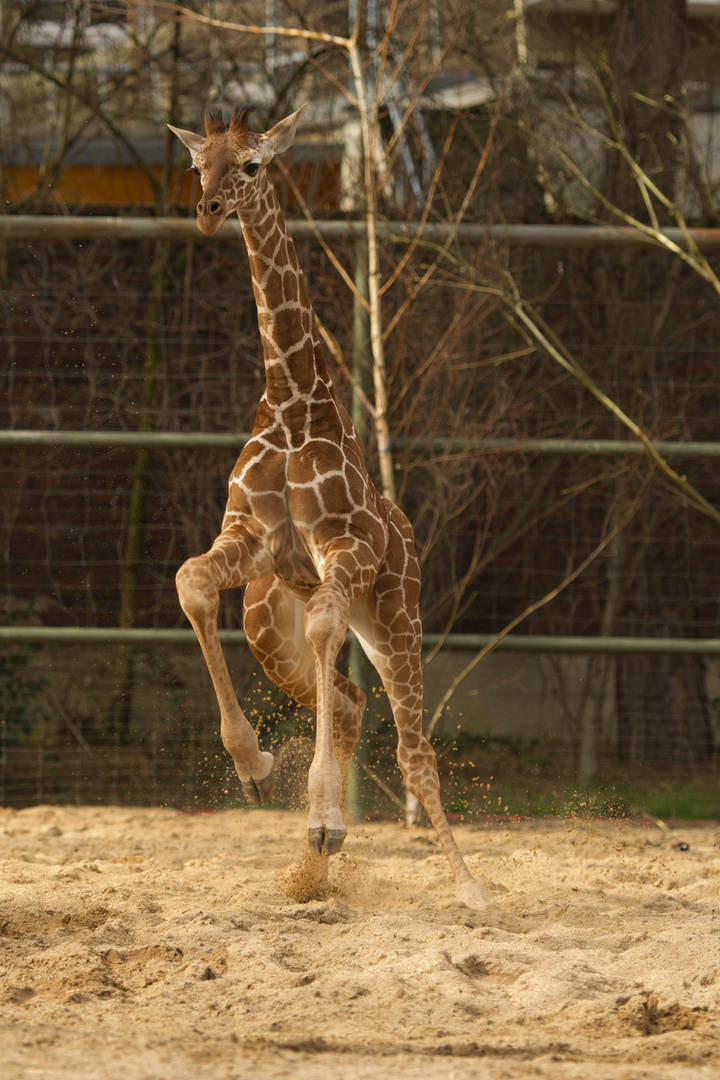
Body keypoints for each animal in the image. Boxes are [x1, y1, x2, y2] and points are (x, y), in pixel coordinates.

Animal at [169, 103, 490, 911]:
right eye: (197, 165)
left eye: (252, 165)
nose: (208, 211)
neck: (291, 404)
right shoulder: (252, 540)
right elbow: (191, 582)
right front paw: (255, 770)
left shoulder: (345, 551)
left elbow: (322, 624)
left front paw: (318, 817)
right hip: (267, 632)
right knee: (343, 698)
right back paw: (320, 857)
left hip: (397, 617)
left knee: (414, 749)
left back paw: (469, 887)